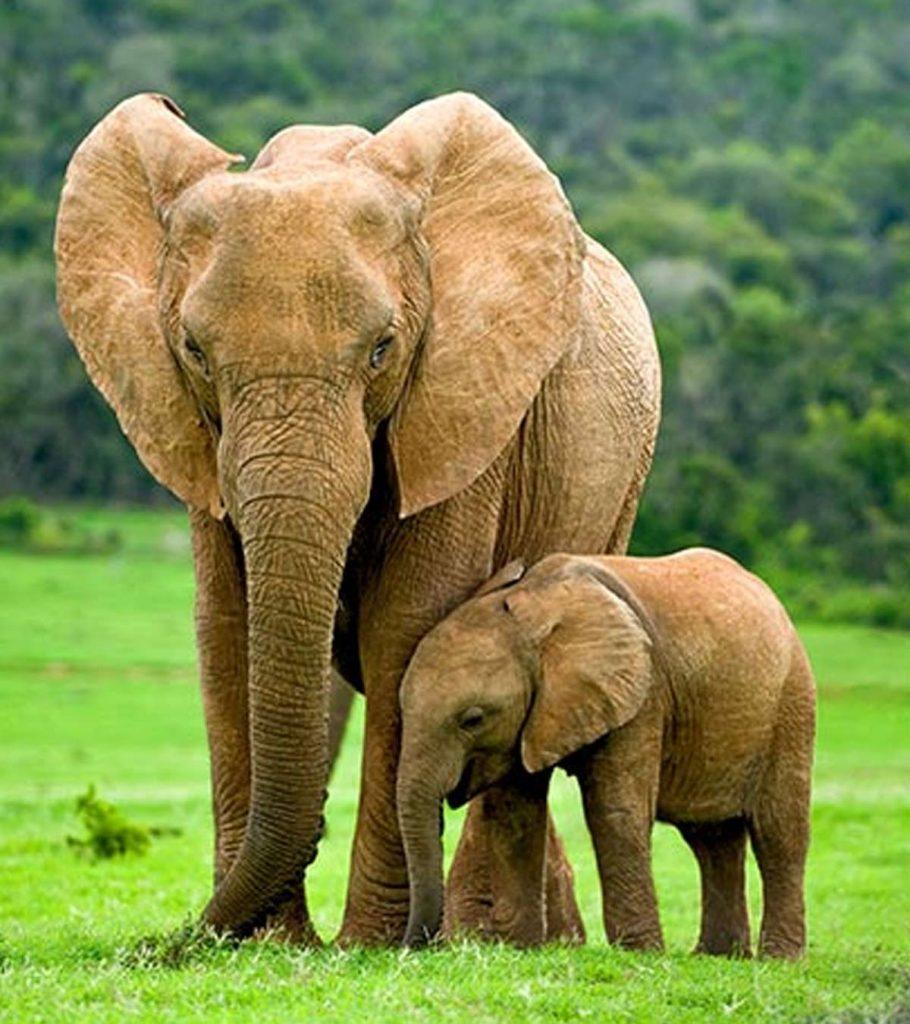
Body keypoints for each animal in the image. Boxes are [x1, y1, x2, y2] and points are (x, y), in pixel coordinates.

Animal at [54, 91, 660, 944]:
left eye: (382, 349)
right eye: (194, 351)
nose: (172, 943)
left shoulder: (462, 401)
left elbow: (406, 625)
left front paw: (368, 945)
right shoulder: (194, 434)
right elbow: (226, 626)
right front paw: (269, 944)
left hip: (621, 480)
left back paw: (494, 937)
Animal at [397, 550, 815, 958]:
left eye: (473, 719)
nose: (413, 948)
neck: (534, 613)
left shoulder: (641, 694)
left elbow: (615, 811)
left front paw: (640, 954)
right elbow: (515, 815)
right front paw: (521, 949)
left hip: (791, 703)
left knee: (778, 831)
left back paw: (779, 958)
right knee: (710, 837)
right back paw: (717, 956)